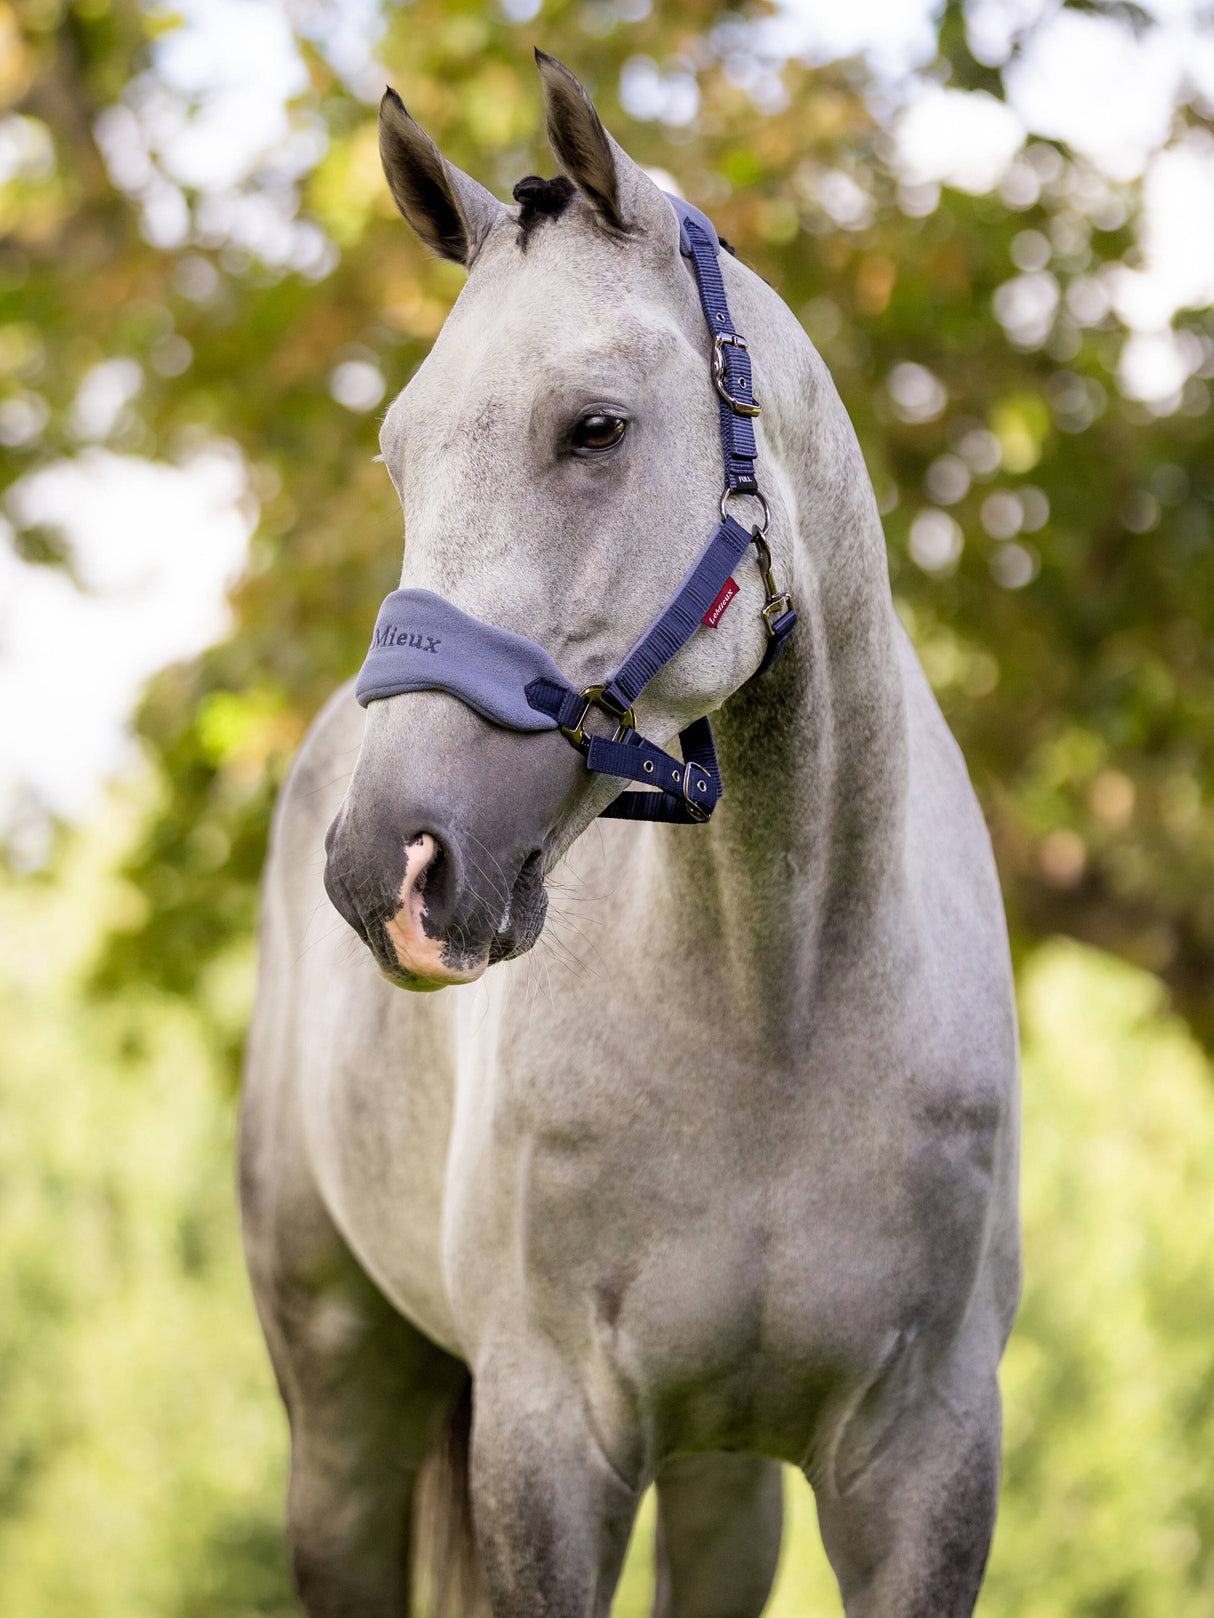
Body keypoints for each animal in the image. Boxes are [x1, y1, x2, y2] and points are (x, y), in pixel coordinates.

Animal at [242, 50, 1022, 1618]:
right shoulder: (550, 1441)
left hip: (722, 1477)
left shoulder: (926, 1462)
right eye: (399, 457)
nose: (386, 865)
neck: (780, 1005)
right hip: (342, 1419)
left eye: (592, 427)